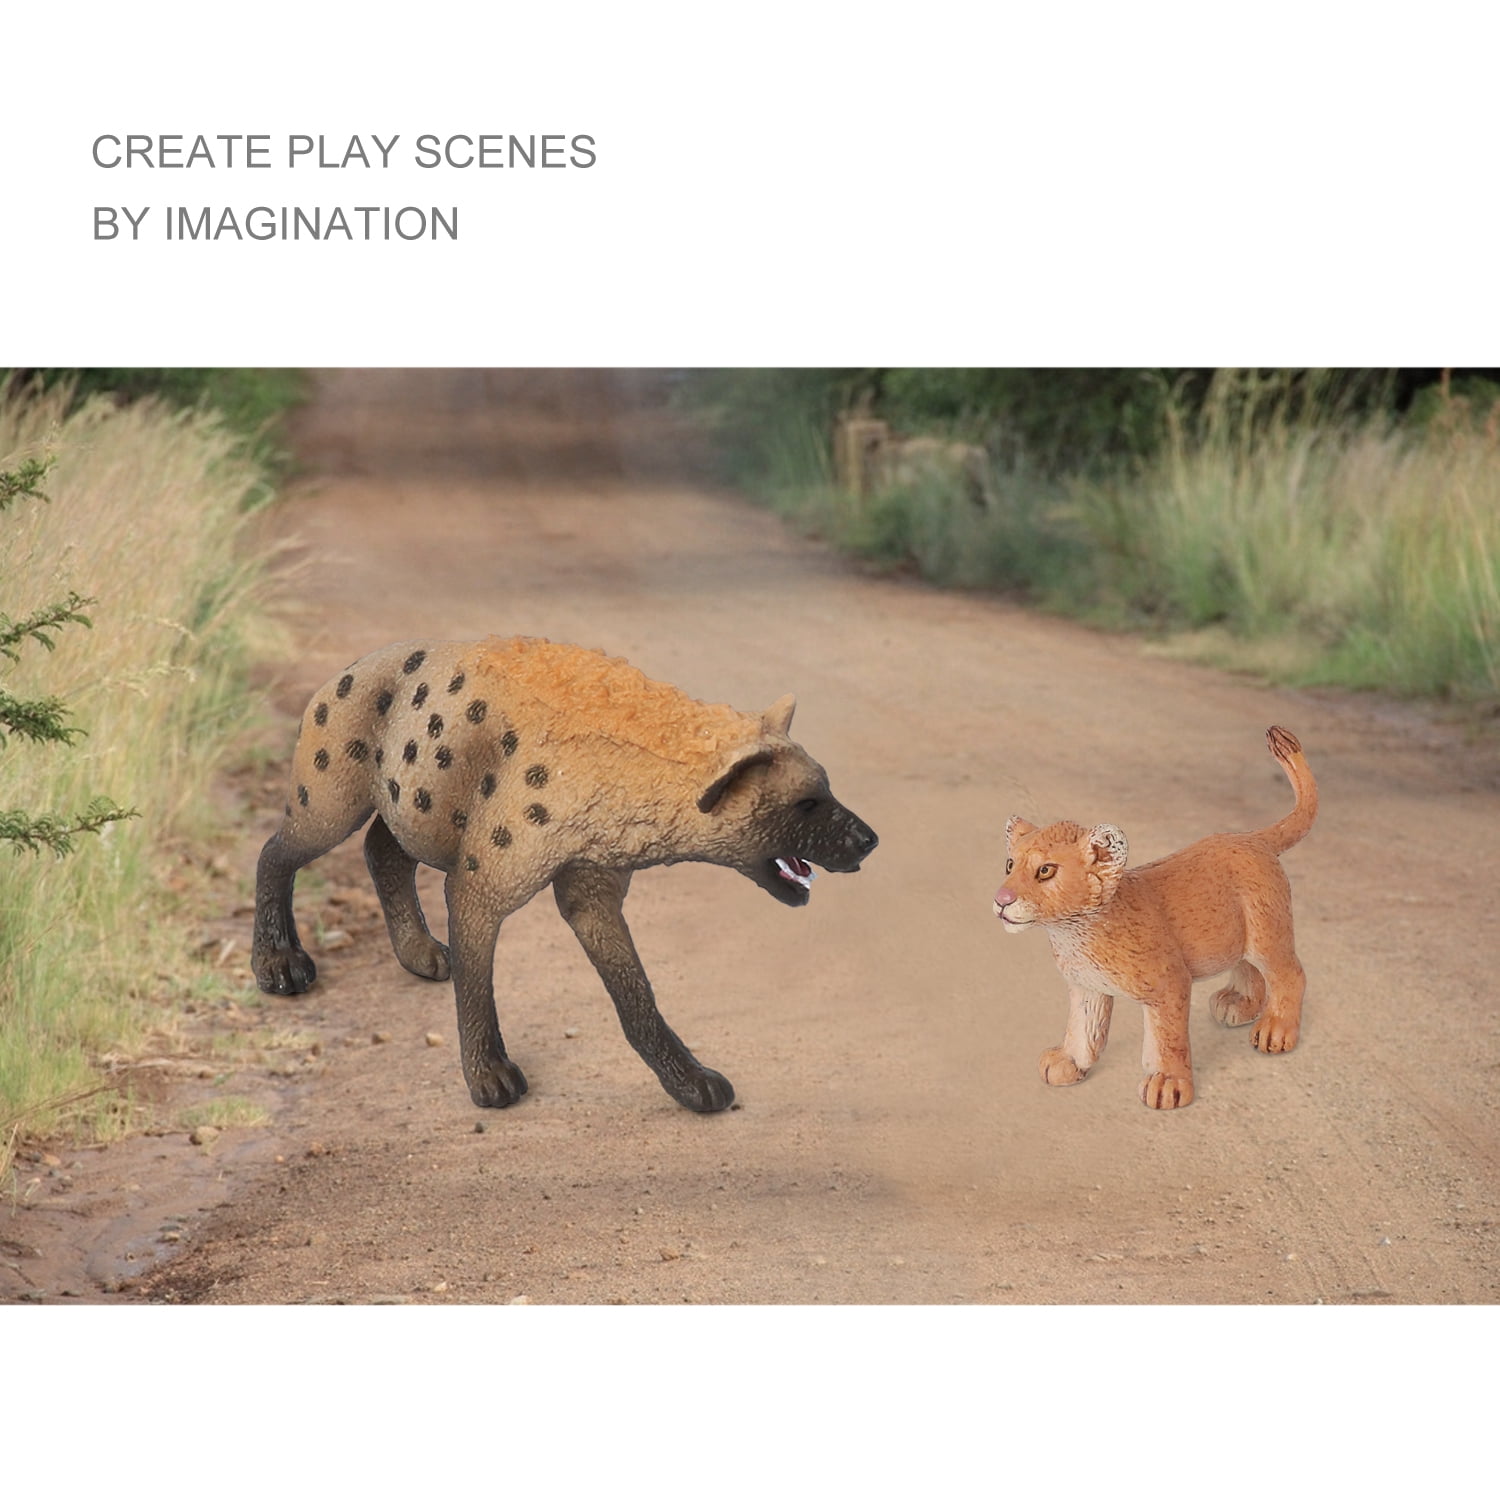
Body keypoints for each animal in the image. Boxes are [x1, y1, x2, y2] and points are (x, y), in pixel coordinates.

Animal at [252, 636, 879, 1112]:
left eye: (828, 788)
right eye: (805, 804)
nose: (870, 839)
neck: (619, 779)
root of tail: (351, 667)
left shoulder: (594, 881)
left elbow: (635, 991)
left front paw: (692, 1083)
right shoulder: (484, 878)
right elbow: (479, 979)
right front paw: (491, 1078)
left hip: (419, 804)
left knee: (384, 847)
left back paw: (421, 954)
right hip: (333, 792)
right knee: (278, 850)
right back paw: (280, 966)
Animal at [992, 726, 1316, 1110]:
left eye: (1045, 870)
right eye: (1010, 865)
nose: (1001, 901)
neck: (1072, 931)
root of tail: (1253, 838)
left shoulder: (1170, 984)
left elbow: (1166, 1039)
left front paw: (1167, 1084)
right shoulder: (1087, 987)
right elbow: (1082, 1029)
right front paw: (1068, 1061)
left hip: (1268, 934)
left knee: (1290, 974)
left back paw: (1276, 1029)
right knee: (1247, 966)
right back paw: (1238, 1003)